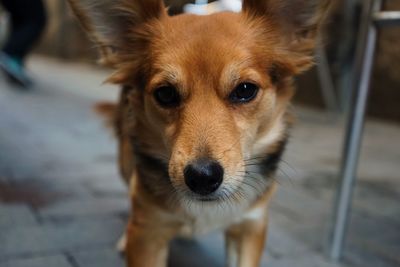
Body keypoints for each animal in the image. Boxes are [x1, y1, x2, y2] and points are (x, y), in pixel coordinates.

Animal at [68, 1, 332, 266]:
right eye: (165, 94)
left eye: (245, 90)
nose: (202, 177)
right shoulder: (149, 231)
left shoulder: (250, 227)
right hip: (126, 162)